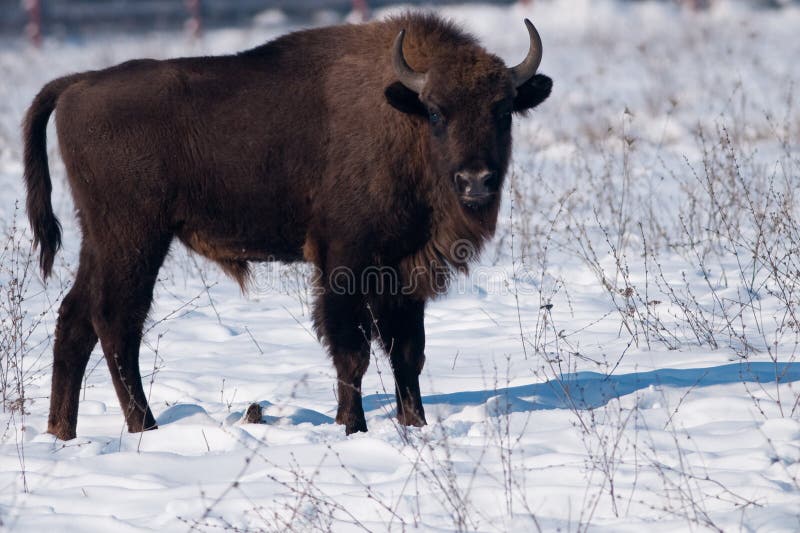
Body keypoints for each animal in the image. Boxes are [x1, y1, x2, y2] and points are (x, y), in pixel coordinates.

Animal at [23, 12, 552, 438]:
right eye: (438, 112)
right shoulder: (345, 263)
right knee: (116, 322)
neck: (404, 115)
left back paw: (62, 432)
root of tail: (77, 84)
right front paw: (353, 426)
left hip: (101, 240)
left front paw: (415, 424)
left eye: (503, 111)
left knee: (75, 318)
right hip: (134, 240)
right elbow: (352, 350)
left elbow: (407, 352)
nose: (476, 181)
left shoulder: (403, 270)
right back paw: (144, 427)